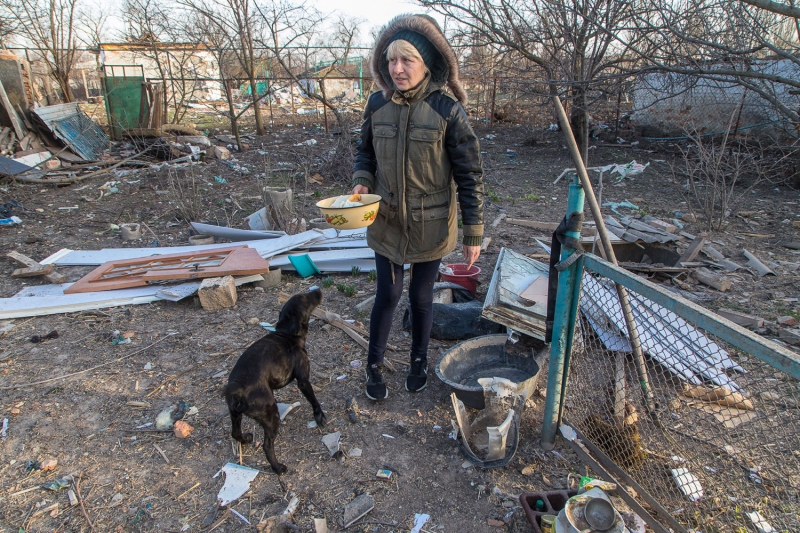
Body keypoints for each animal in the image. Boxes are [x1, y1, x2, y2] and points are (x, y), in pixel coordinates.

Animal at [222, 288, 324, 472]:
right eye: (305, 298)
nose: (317, 289)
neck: (288, 333)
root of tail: (239, 388)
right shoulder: (303, 380)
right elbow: (313, 399)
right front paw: (319, 415)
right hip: (271, 415)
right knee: (267, 445)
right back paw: (278, 468)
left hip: (235, 413)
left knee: (235, 432)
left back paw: (246, 439)